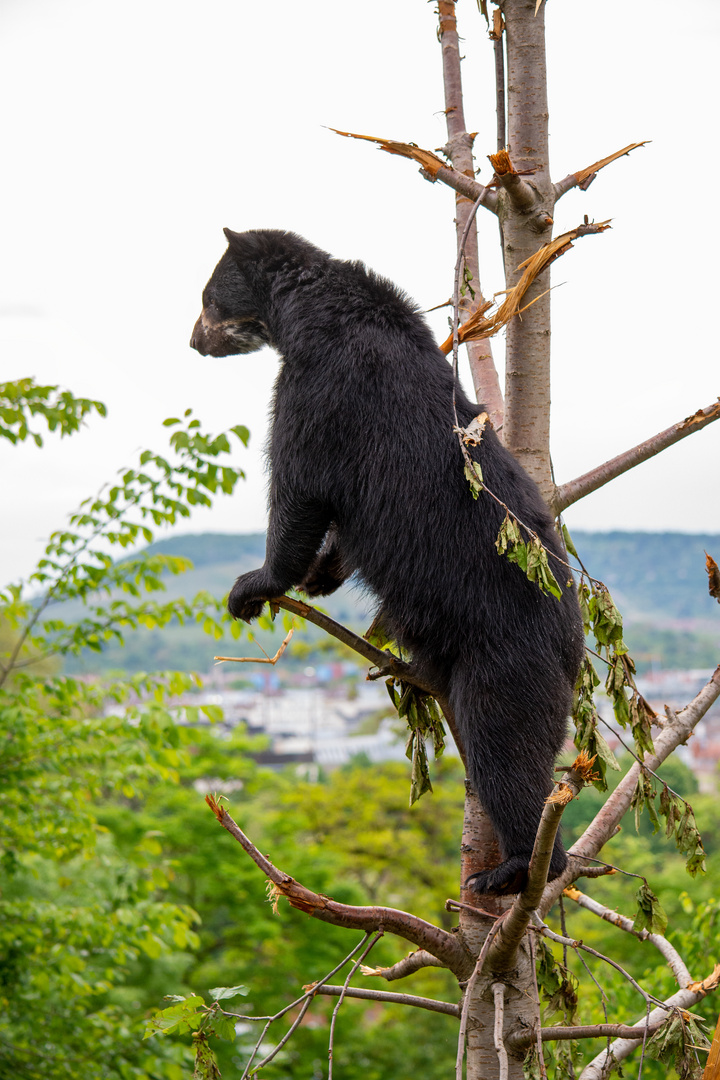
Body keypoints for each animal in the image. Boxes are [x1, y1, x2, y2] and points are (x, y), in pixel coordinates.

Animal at [191, 230, 587, 894]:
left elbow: (298, 485)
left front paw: (254, 585)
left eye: (206, 297)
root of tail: (573, 651)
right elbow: (339, 525)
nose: (193, 340)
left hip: (505, 664)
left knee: (508, 757)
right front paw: (320, 576)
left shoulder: (321, 386)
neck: (311, 308)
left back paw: (509, 870)